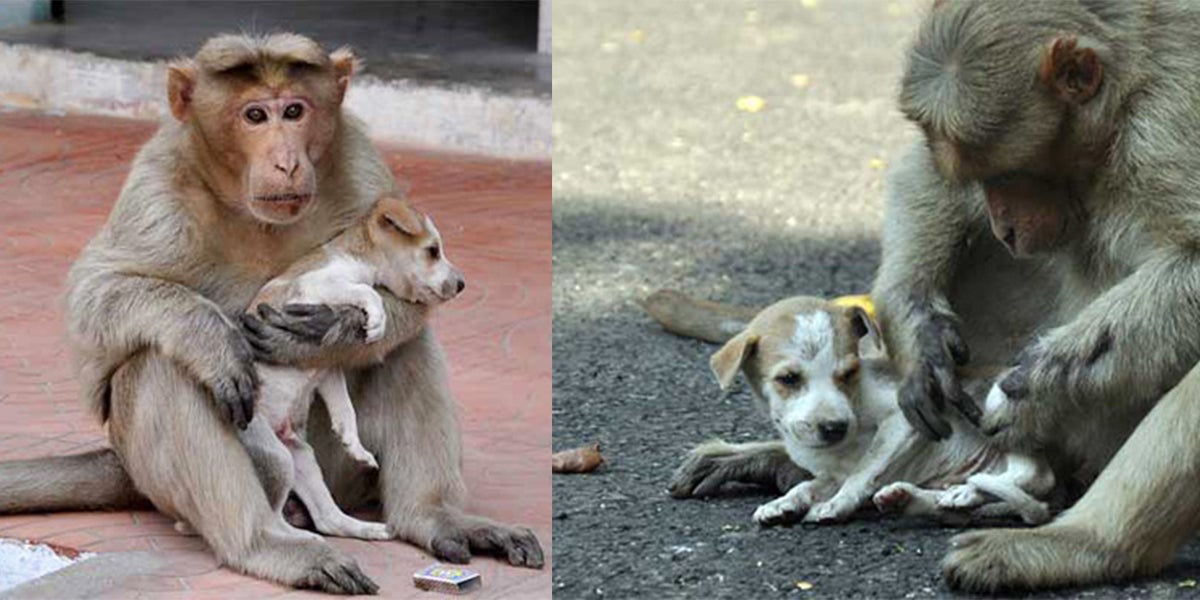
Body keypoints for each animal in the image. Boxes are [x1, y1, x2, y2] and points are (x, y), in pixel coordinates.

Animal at [177, 195, 463, 540]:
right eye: (432, 250)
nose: (461, 284)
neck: (356, 257)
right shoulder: (317, 284)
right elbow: (366, 291)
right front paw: (377, 320)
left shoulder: (326, 367)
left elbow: (345, 408)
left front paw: (354, 444)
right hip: (277, 458)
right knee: (272, 517)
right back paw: (299, 536)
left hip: (303, 458)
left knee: (328, 518)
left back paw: (368, 529)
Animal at [672, 297, 1056, 528]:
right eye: (789, 379)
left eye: (848, 372)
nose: (834, 427)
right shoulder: (829, 471)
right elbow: (808, 485)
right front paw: (785, 503)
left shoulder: (903, 420)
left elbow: (865, 470)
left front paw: (838, 505)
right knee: (965, 509)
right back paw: (927, 499)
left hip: (999, 409)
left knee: (1034, 476)